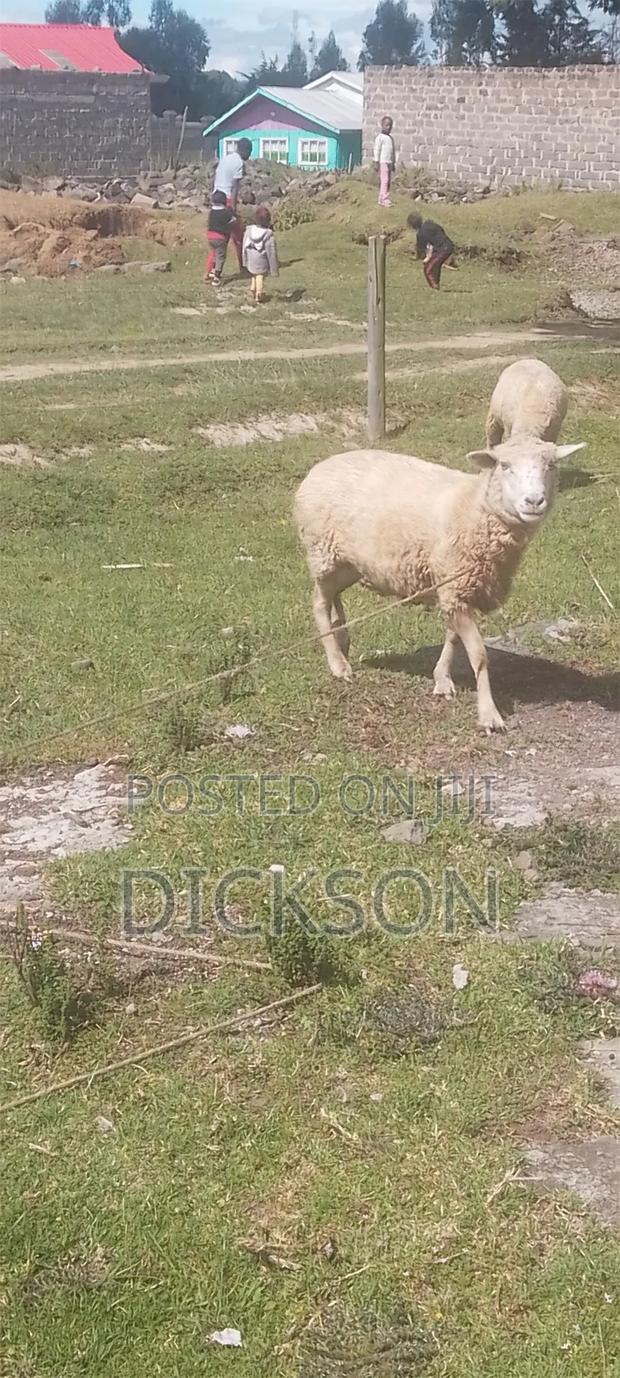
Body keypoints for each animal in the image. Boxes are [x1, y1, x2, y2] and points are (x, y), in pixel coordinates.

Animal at [294, 433, 585, 734]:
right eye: (504, 465)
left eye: (551, 465)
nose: (534, 501)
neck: (475, 509)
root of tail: (320, 467)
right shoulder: (456, 587)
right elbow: (479, 655)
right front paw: (489, 714)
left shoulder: (455, 586)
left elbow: (452, 637)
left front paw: (442, 679)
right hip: (322, 550)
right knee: (319, 603)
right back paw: (337, 663)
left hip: (348, 561)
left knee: (334, 596)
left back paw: (342, 637)